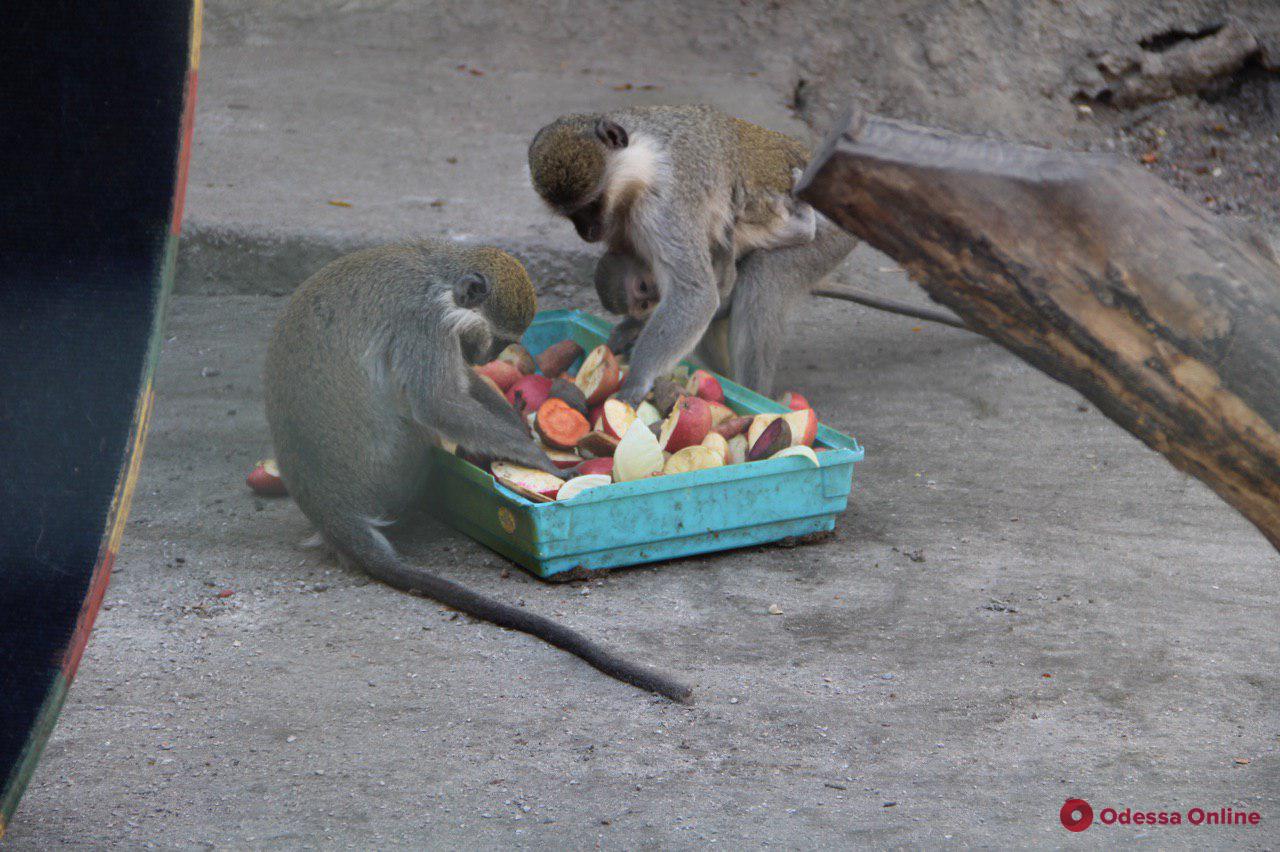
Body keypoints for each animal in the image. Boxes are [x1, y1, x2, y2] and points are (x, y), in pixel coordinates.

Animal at [261, 240, 696, 701]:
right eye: (500, 339)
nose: (486, 356)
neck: (435, 273)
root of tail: (331, 513)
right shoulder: (424, 323)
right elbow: (440, 403)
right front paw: (539, 461)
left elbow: (466, 384)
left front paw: (524, 429)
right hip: (393, 463)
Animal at [529, 105, 860, 399]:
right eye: (572, 214)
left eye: (592, 204)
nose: (586, 232)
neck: (644, 162)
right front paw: (630, 328)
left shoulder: (663, 208)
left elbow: (696, 294)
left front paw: (637, 380)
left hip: (832, 235)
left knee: (763, 279)